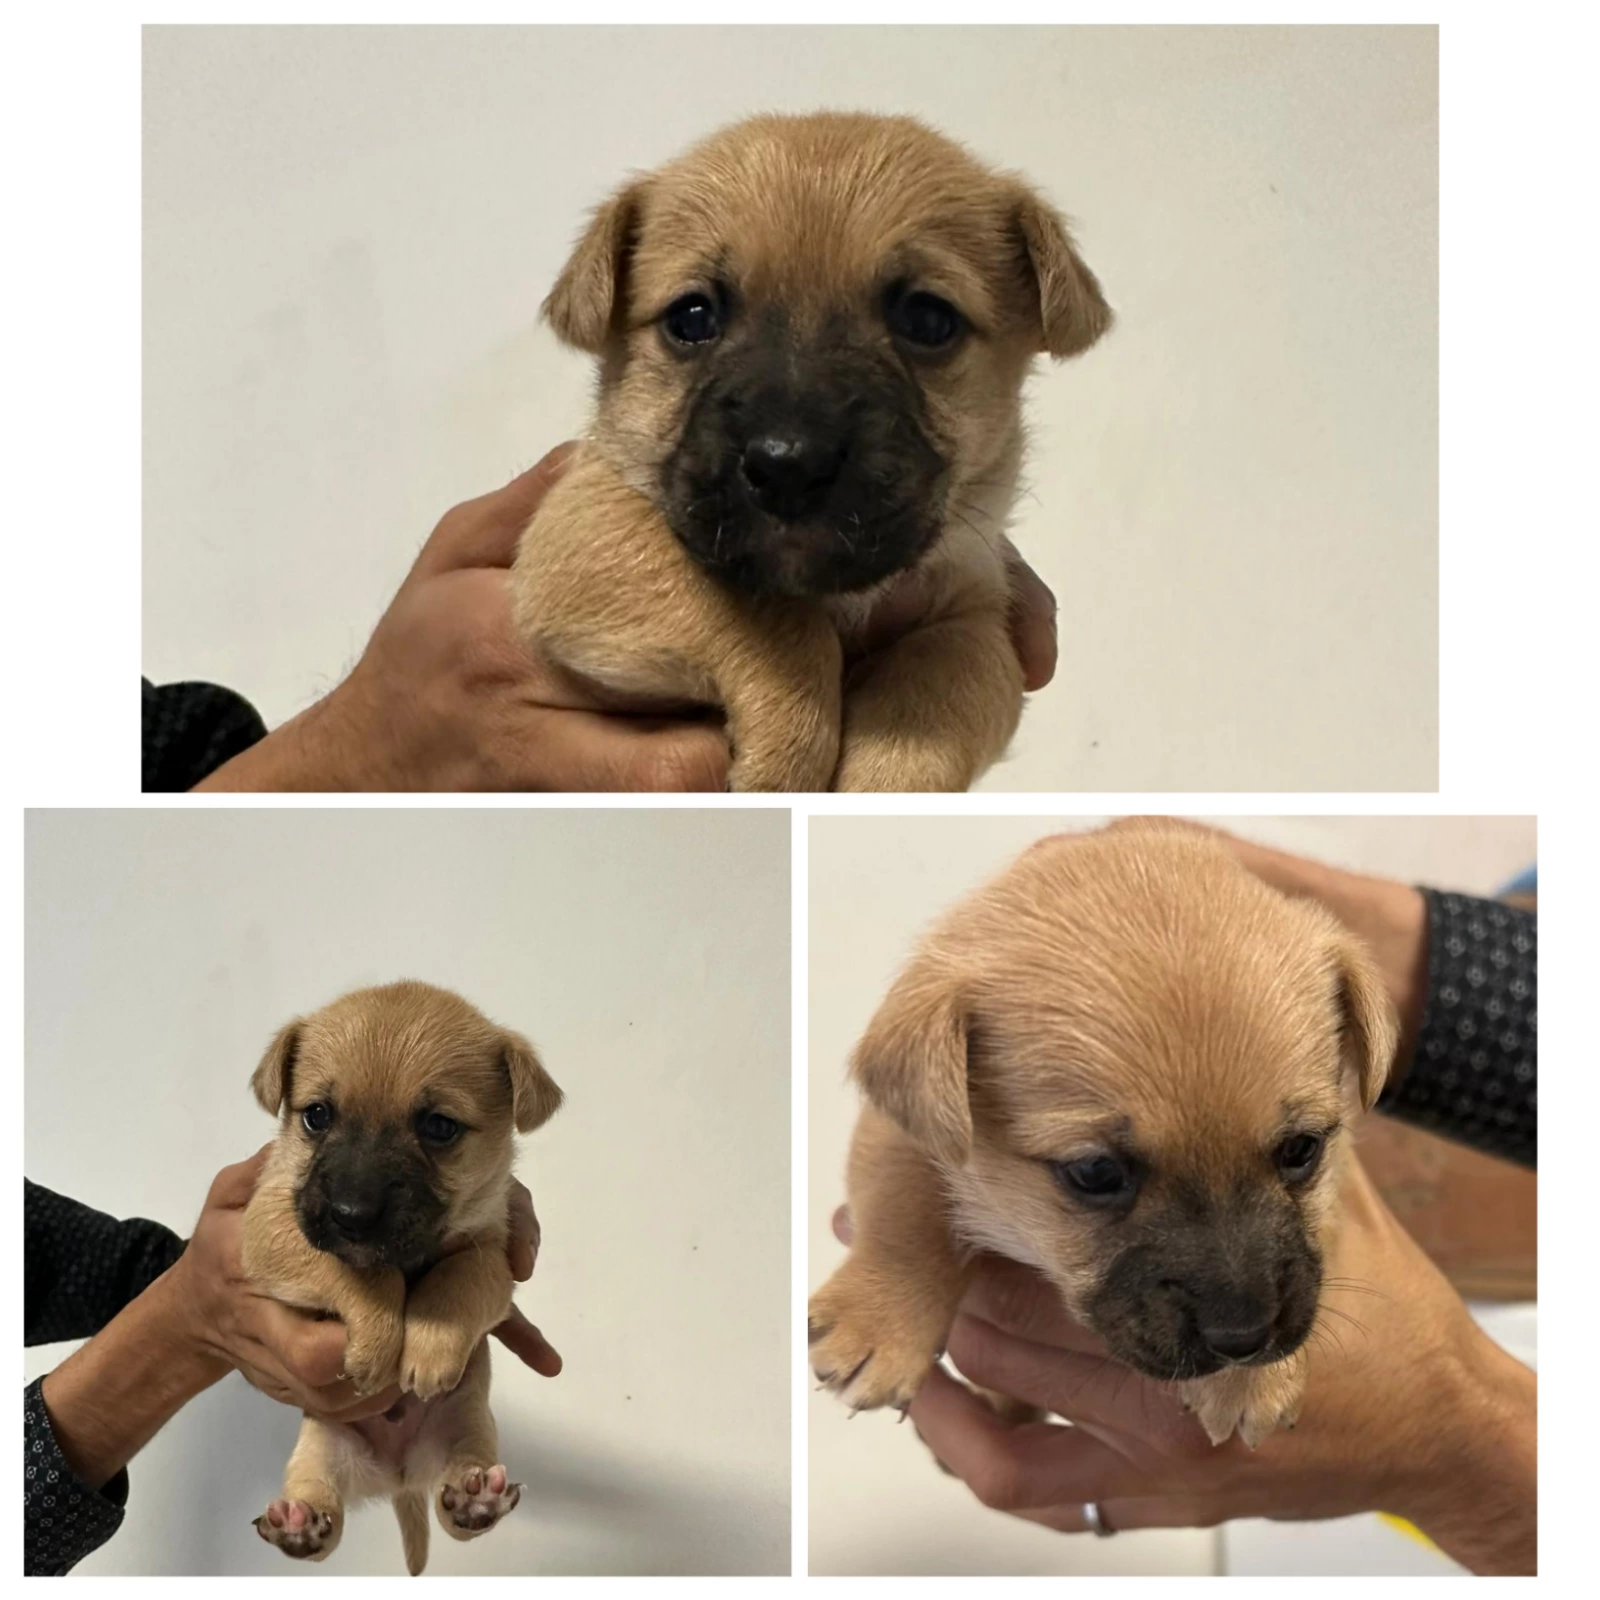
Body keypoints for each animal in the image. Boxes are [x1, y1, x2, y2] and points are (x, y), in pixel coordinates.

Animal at [241, 982, 563, 1574]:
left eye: (438, 1127)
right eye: (316, 1116)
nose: (351, 1213)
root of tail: (399, 1477)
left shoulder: (493, 1251)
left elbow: (456, 1276)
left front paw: (428, 1347)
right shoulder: (269, 1222)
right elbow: (367, 1271)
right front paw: (377, 1342)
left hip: (470, 1427)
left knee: (454, 1505)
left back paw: (475, 1502)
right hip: (320, 1447)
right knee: (324, 1511)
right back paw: (299, 1526)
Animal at [512, 111, 1112, 791]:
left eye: (928, 320)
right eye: (691, 318)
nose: (788, 466)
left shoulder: (974, 611)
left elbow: (941, 691)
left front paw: (881, 780)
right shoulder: (587, 525)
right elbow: (783, 625)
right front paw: (786, 759)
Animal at [808, 823, 1397, 1448]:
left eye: (1301, 1149)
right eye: (1095, 1172)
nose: (1245, 1337)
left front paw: (1253, 1382)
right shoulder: (906, 1127)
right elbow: (904, 1201)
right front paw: (880, 1326)